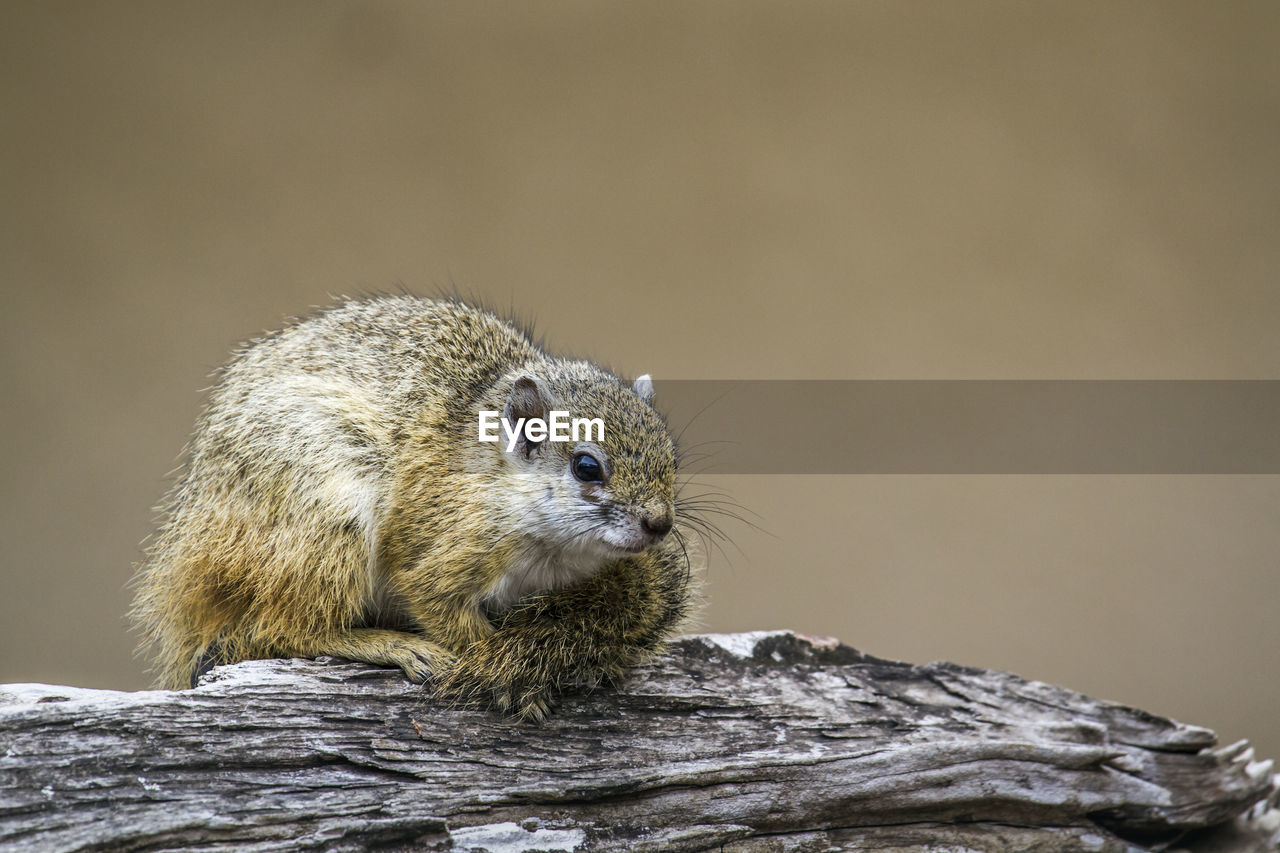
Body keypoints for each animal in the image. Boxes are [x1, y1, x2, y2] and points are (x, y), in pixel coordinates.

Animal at [127, 295, 701, 712]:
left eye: (671, 455)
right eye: (586, 467)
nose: (659, 524)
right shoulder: (439, 551)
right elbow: (450, 617)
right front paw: (501, 672)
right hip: (325, 517)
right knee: (285, 629)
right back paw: (389, 644)